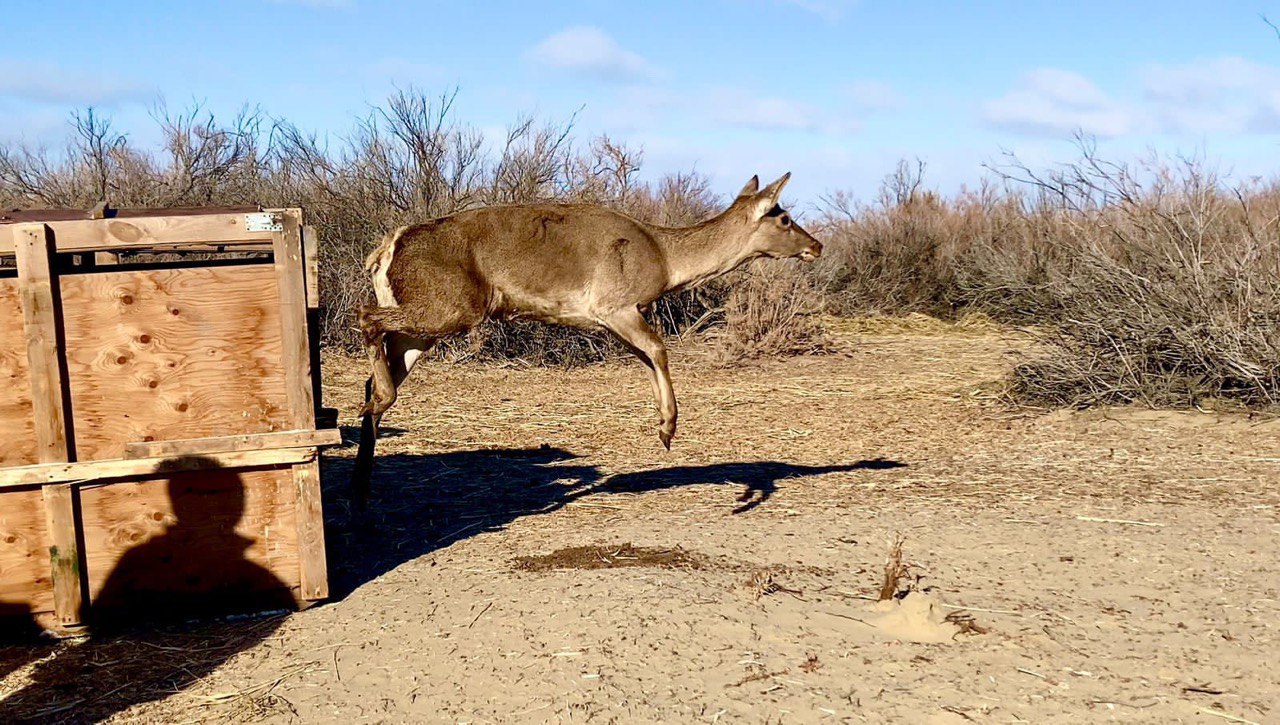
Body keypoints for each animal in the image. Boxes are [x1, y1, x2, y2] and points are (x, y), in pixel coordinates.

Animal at [353, 174, 819, 504]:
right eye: (783, 217)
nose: (816, 245)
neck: (666, 260)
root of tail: (383, 251)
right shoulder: (614, 304)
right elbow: (659, 349)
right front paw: (668, 429)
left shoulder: (613, 319)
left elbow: (648, 357)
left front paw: (662, 426)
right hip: (450, 306)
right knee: (366, 318)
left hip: (424, 327)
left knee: (375, 374)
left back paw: (364, 478)